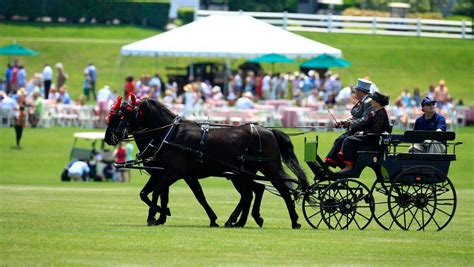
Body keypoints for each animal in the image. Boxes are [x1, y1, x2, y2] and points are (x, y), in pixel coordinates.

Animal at [105, 97, 310, 229]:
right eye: (113, 115)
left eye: (124, 115)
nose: (109, 137)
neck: (169, 135)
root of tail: (268, 130)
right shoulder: (174, 174)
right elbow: (186, 195)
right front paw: (162, 214)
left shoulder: (173, 172)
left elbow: (157, 192)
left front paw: (154, 216)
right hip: (241, 174)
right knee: (253, 191)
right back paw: (240, 220)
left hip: (267, 168)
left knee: (281, 190)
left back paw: (294, 220)